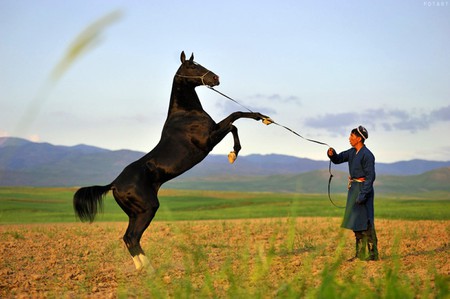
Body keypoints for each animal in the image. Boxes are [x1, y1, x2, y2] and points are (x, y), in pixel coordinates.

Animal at [74, 51, 270, 272]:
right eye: (192, 66)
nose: (216, 78)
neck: (186, 114)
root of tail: (114, 184)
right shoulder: (208, 140)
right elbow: (233, 120)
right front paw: (233, 154)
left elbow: (235, 119)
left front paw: (262, 119)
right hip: (147, 209)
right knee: (132, 237)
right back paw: (150, 270)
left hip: (135, 213)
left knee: (127, 237)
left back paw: (142, 268)